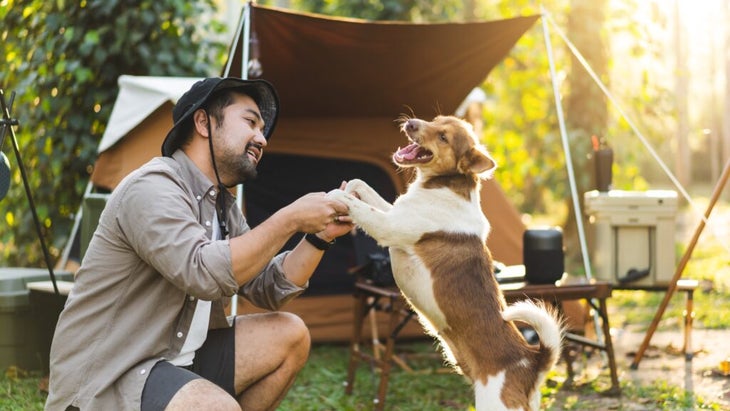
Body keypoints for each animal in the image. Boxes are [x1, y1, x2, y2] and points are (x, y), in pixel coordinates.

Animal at [330, 116, 564, 411]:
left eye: (443, 137)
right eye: (435, 120)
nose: (411, 122)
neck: (444, 184)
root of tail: (532, 363)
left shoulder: (389, 226)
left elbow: (356, 205)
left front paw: (333, 198)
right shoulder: (394, 213)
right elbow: (360, 185)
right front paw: (347, 189)